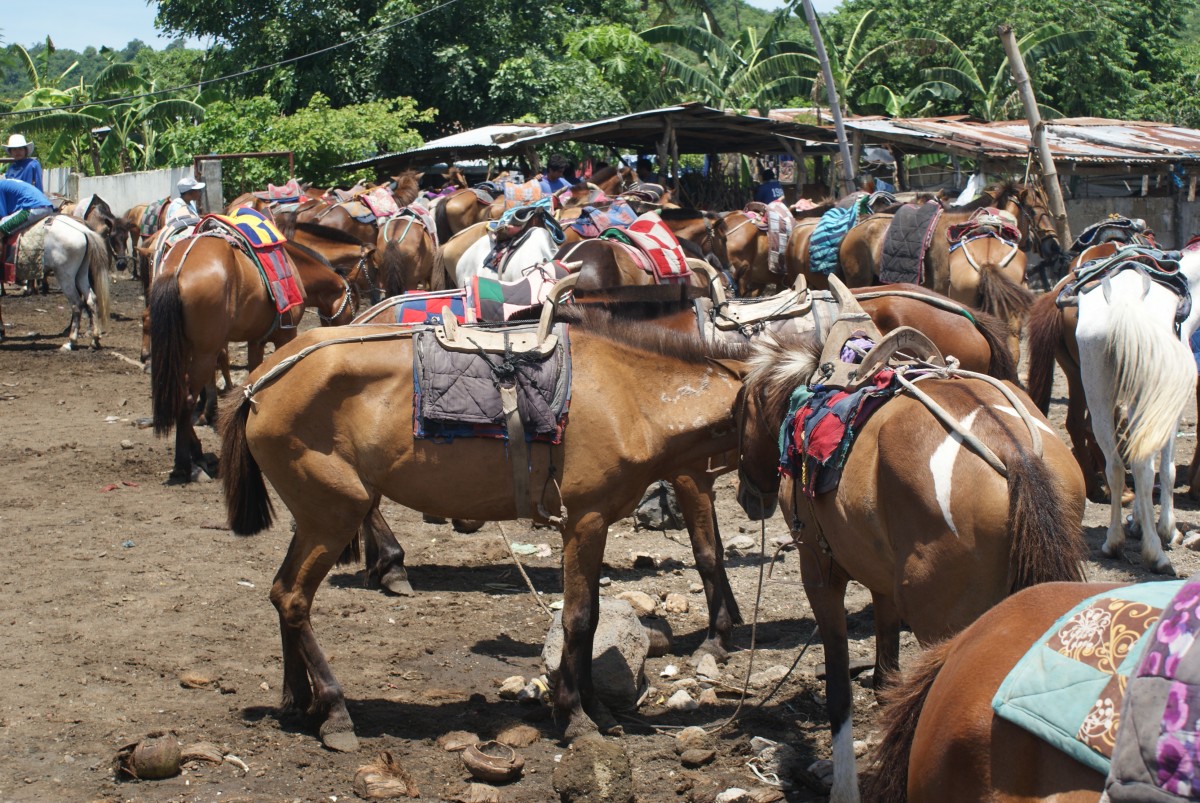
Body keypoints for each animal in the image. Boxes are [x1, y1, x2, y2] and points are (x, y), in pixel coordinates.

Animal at [1, 214, 111, 348]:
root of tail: (83, 230)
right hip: (81, 273)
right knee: (91, 300)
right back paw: (94, 339)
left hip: (65, 276)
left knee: (76, 303)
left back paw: (71, 341)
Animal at [148, 235, 357, 480]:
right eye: (355, 302)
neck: (295, 267)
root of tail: (176, 269)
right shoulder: (285, 335)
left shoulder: (256, 340)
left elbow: (255, 381)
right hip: (204, 352)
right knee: (188, 399)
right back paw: (185, 462)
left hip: (182, 351)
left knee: (180, 395)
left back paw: (196, 454)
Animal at [729, 278, 1089, 796]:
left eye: (739, 412)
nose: (746, 496)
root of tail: (1016, 454)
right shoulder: (883, 581)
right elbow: (885, 679)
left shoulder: (819, 570)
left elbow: (840, 690)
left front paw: (844, 784)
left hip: (944, 625)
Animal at [1080, 241, 1200, 573]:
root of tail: (1125, 305)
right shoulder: (1171, 409)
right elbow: (1166, 470)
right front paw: (1166, 529)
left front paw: (1136, 523)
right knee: (1145, 466)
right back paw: (1156, 554)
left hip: (1098, 398)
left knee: (1116, 465)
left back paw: (1113, 542)